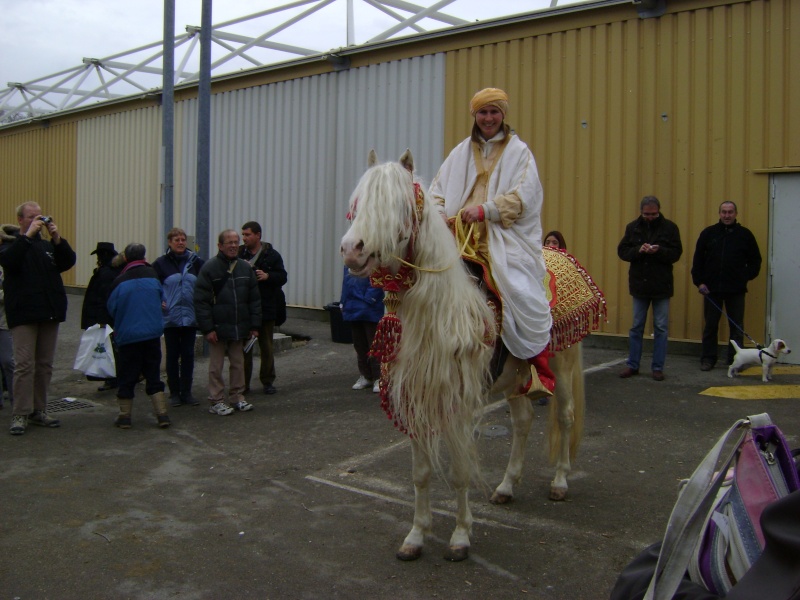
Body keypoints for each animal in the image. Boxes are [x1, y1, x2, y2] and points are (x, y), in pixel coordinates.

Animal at [340, 150, 596, 564]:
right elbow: (421, 473)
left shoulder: (456, 403)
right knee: (523, 421)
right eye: (358, 204)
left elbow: (459, 471)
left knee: (565, 416)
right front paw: (415, 536)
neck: (440, 310)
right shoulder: (417, 398)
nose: (352, 249)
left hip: (561, 362)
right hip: (515, 375)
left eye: (401, 205)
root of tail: (561, 254)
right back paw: (506, 487)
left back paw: (559, 481)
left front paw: (460, 537)